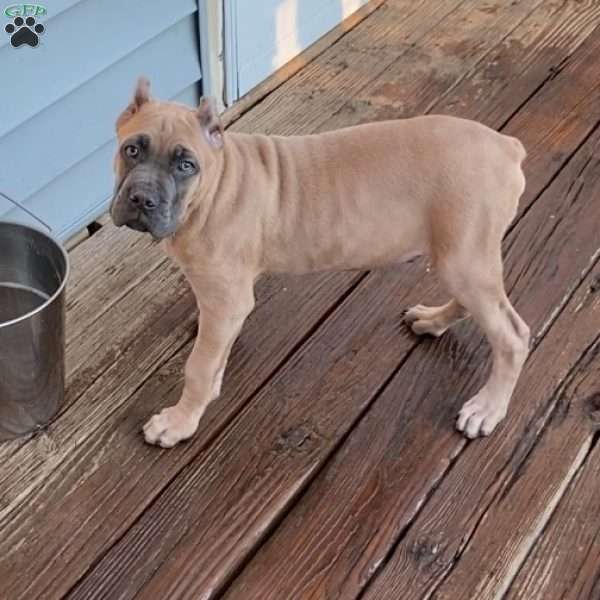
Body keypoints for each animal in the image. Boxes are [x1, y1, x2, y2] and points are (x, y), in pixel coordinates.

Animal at [110, 78, 528, 446]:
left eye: (186, 165)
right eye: (132, 150)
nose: (142, 200)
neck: (214, 188)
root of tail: (506, 146)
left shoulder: (226, 301)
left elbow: (197, 366)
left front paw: (179, 422)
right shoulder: (224, 307)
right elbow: (213, 356)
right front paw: (207, 392)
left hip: (464, 258)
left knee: (513, 337)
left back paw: (487, 409)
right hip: (462, 257)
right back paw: (433, 320)